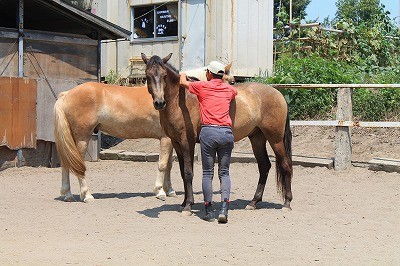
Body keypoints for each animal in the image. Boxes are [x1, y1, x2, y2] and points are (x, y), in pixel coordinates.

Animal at [54, 65, 234, 203]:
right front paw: (160, 191)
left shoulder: (170, 140)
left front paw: (169, 190)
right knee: (78, 165)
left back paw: (68, 194)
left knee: (66, 162)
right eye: (229, 80)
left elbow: (169, 165)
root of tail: (67, 94)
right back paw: (86, 195)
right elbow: (162, 165)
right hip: (82, 138)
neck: (174, 97)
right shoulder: (166, 139)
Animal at [142, 52, 292, 216]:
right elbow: (182, 172)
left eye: (164, 76)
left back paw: (287, 202)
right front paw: (183, 203)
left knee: (285, 165)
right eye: (147, 76)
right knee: (264, 166)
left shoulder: (187, 142)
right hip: (257, 138)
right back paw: (253, 202)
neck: (181, 100)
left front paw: (188, 205)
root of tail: (278, 94)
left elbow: (188, 172)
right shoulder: (176, 143)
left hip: (275, 138)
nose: (159, 103)